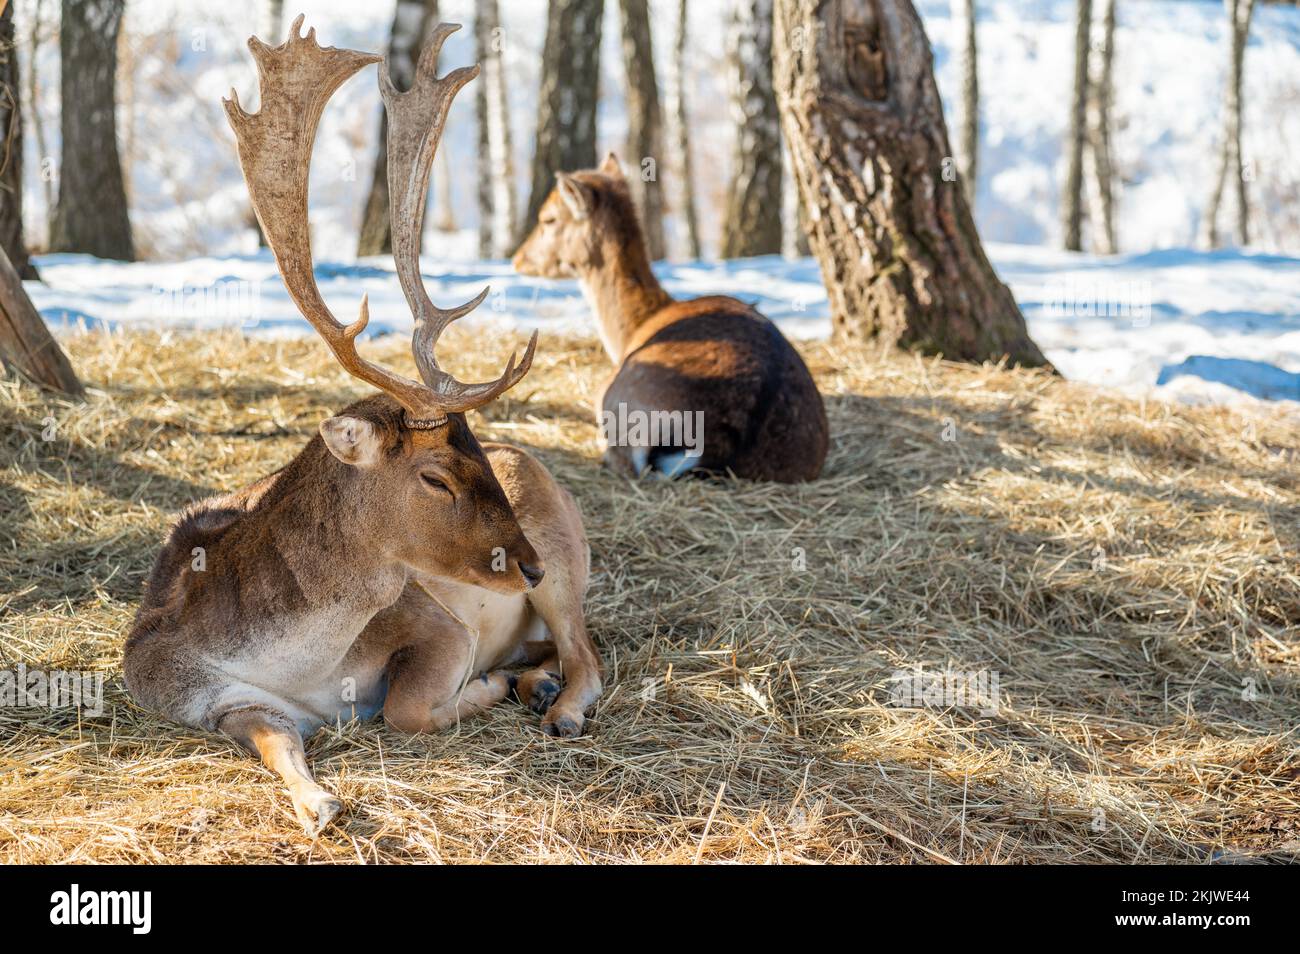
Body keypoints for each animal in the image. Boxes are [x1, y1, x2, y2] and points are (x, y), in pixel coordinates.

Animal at [123, 18, 602, 837]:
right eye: (434, 475)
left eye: (475, 452)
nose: (527, 566)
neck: (297, 664)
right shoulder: (206, 696)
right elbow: (278, 742)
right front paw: (319, 805)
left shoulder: (436, 623)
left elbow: (406, 707)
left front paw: (481, 689)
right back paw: (532, 682)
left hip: (568, 550)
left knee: (589, 653)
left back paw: (555, 704)